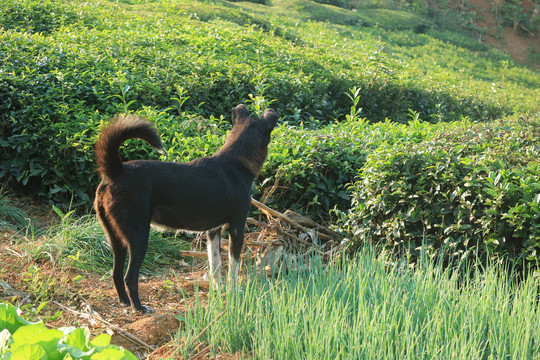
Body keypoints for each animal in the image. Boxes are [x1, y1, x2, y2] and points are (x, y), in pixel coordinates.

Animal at [94, 105, 278, 312]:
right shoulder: (237, 228)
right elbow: (233, 267)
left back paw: (125, 302)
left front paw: (219, 291)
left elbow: (215, 265)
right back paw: (139, 307)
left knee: (116, 273)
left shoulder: (213, 231)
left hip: (116, 237)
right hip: (138, 237)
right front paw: (234, 293)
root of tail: (116, 171)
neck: (237, 161)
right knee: (130, 276)